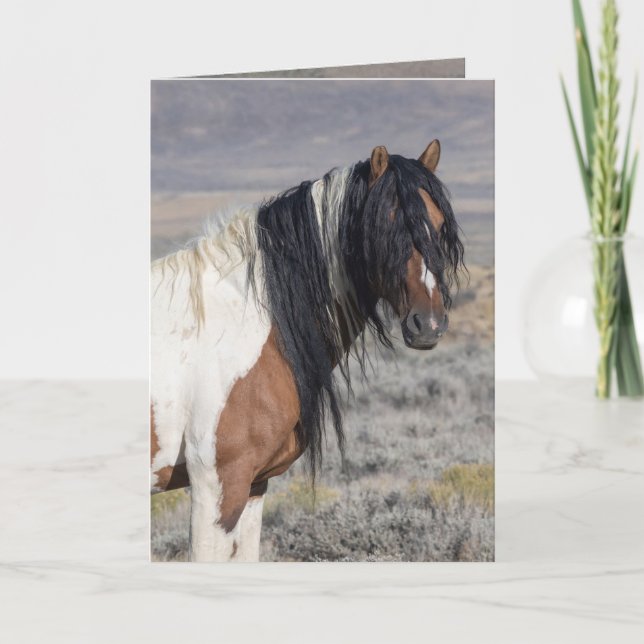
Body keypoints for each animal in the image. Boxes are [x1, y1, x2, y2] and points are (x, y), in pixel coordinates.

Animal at [150, 140, 465, 562]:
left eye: (440, 223)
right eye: (383, 225)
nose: (428, 324)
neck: (253, 319)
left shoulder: (253, 485)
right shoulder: (216, 486)